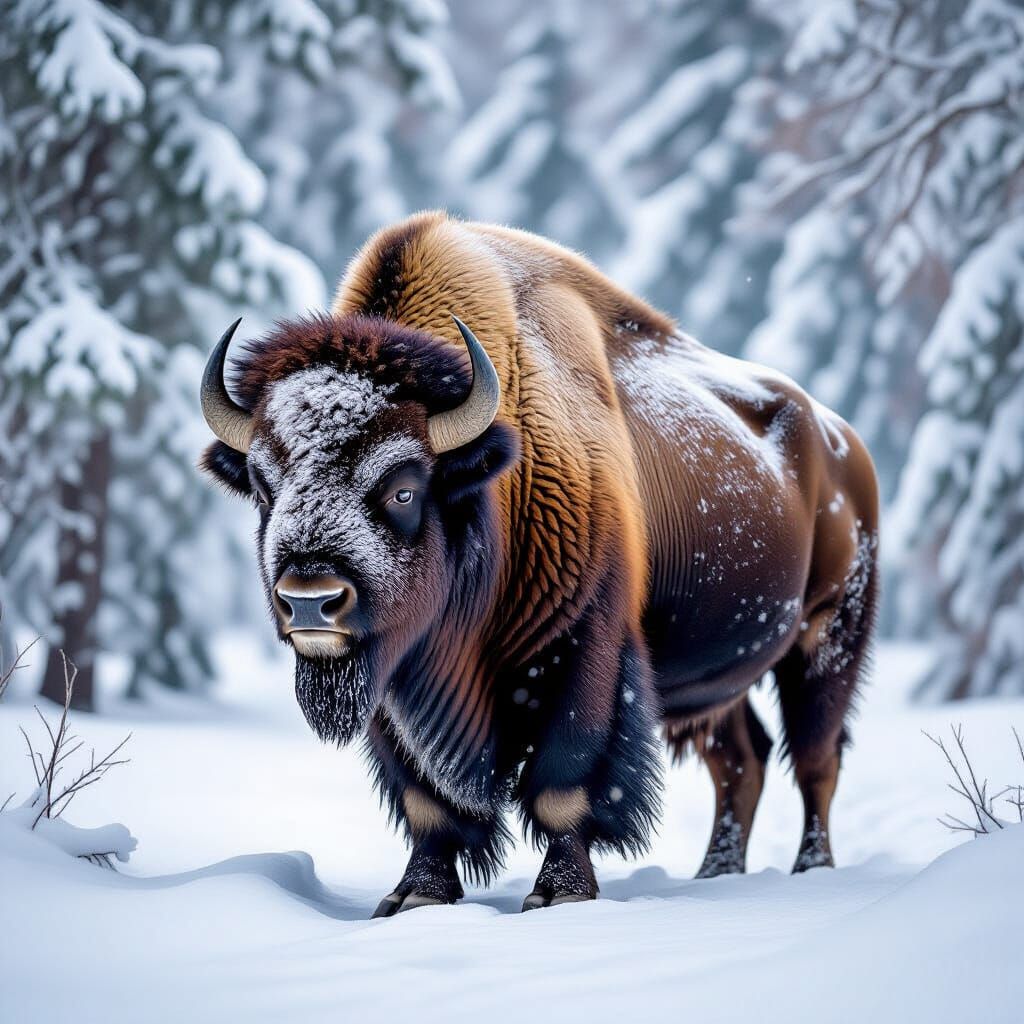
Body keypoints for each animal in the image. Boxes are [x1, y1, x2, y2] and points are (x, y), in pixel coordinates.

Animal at [200, 211, 879, 915]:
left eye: (405, 487)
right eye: (263, 484)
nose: (310, 599)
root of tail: (843, 444)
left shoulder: (582, 652)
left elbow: (561, 786)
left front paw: (560, 895)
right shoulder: (392, 684)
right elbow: (425, 802)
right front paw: (415, 897)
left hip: (828, 636)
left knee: (816, 758)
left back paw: (811, 869)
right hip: (719, 682)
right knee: (742, 759)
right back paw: (715, 874)